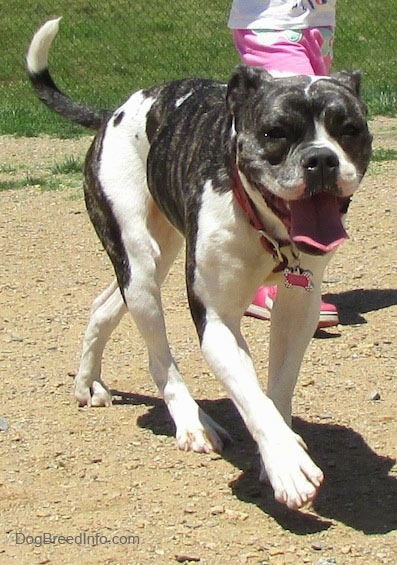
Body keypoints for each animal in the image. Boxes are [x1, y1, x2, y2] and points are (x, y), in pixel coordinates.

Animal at [27, 19, 372, 508]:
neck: (264, 228)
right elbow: (252, 398)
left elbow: (277, 390)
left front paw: (280, 448)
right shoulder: (217, 320)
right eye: (275, 133)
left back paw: (87, 381)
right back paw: (192, 423)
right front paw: (287, 467)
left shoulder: (297, 309)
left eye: (349, 128)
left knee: (103, 306)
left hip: (157, 254)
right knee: (160, 361)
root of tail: (112, 113)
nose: (321, 159)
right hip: (140, 264)